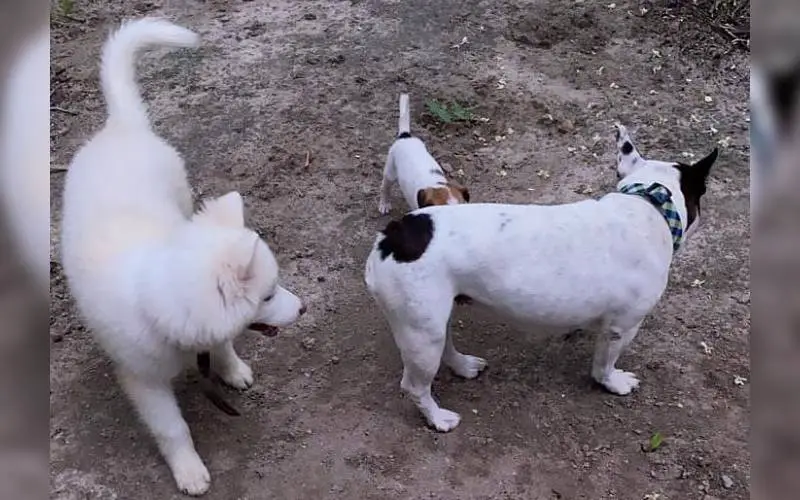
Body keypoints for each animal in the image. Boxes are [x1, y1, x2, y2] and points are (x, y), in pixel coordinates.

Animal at [60, 18, 306, 496]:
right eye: (268, 295)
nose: (303, 307)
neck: (156, 305)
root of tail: (121, 126)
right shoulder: (144, 381)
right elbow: (172, 429)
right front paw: (188, 470)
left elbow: (223, 343)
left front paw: (231, 369)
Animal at [362, 123, 720, 432]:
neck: (649, 202)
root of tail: (392, 236)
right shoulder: (623, 326)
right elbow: (604, 364)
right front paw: (613, 383)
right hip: (421, 335)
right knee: (415, 386)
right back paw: (438, 418)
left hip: (434, 319)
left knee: (446, 345)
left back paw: (463, 366)